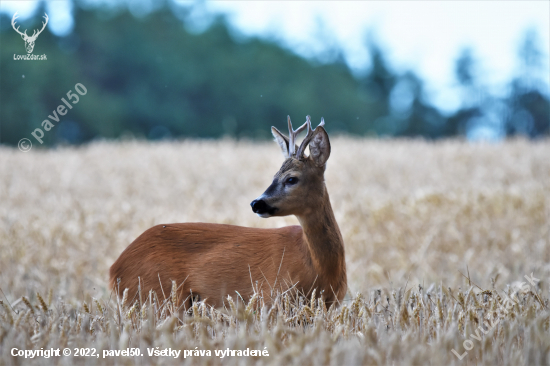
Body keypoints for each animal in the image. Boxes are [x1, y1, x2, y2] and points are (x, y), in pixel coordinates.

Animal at [109, 116, 348, 308]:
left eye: (291, 179)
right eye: (274, 176)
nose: (256, 203)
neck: (320, 268)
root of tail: (114, 270)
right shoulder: (269, 297)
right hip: (158, 297)